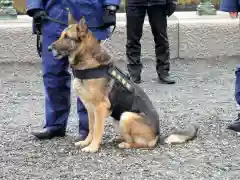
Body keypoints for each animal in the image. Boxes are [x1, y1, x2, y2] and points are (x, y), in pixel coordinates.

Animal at [47, 18, 198, 153]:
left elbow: (97, 130)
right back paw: (119, 139)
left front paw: (93, 147)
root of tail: (158, 135)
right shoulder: (90, 109)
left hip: (126, 116)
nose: (48, 48)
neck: (88, 62)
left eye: (67, 37)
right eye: (60, 35)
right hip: (117, 119)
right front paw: (86, 142)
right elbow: (91, 128)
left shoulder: (100, 108)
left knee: (141, 144)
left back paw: (125, 144)